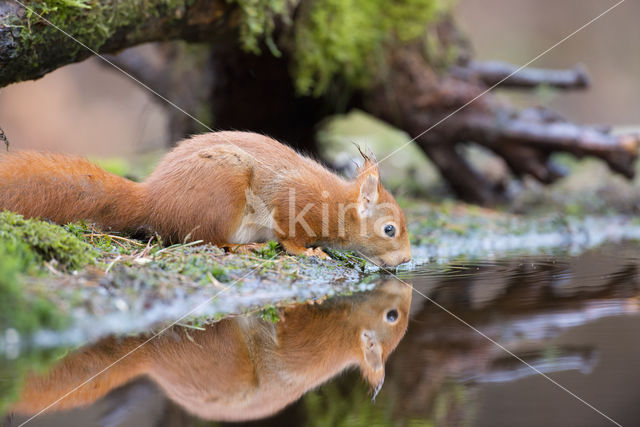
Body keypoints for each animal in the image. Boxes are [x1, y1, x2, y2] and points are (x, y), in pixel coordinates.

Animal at [0, 132, 410, 268]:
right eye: (389, 229)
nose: (407, 260)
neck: (337, 205)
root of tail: (152, 199)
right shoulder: (294, 199)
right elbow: (290, 235)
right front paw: (309, 251)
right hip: (224, 190)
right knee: (207, 239)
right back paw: (242, 247)